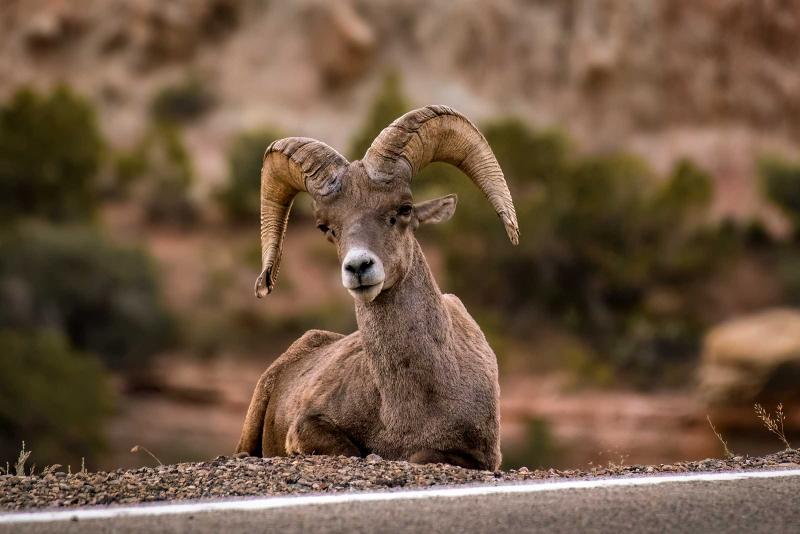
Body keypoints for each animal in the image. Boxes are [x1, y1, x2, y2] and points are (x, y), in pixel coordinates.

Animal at [235, 105, 518, 470]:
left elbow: (421, 454)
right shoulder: (308, 424)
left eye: (404, 209)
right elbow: (349, 448)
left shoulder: (478, 457)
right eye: (326, 227)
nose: (358, 267)